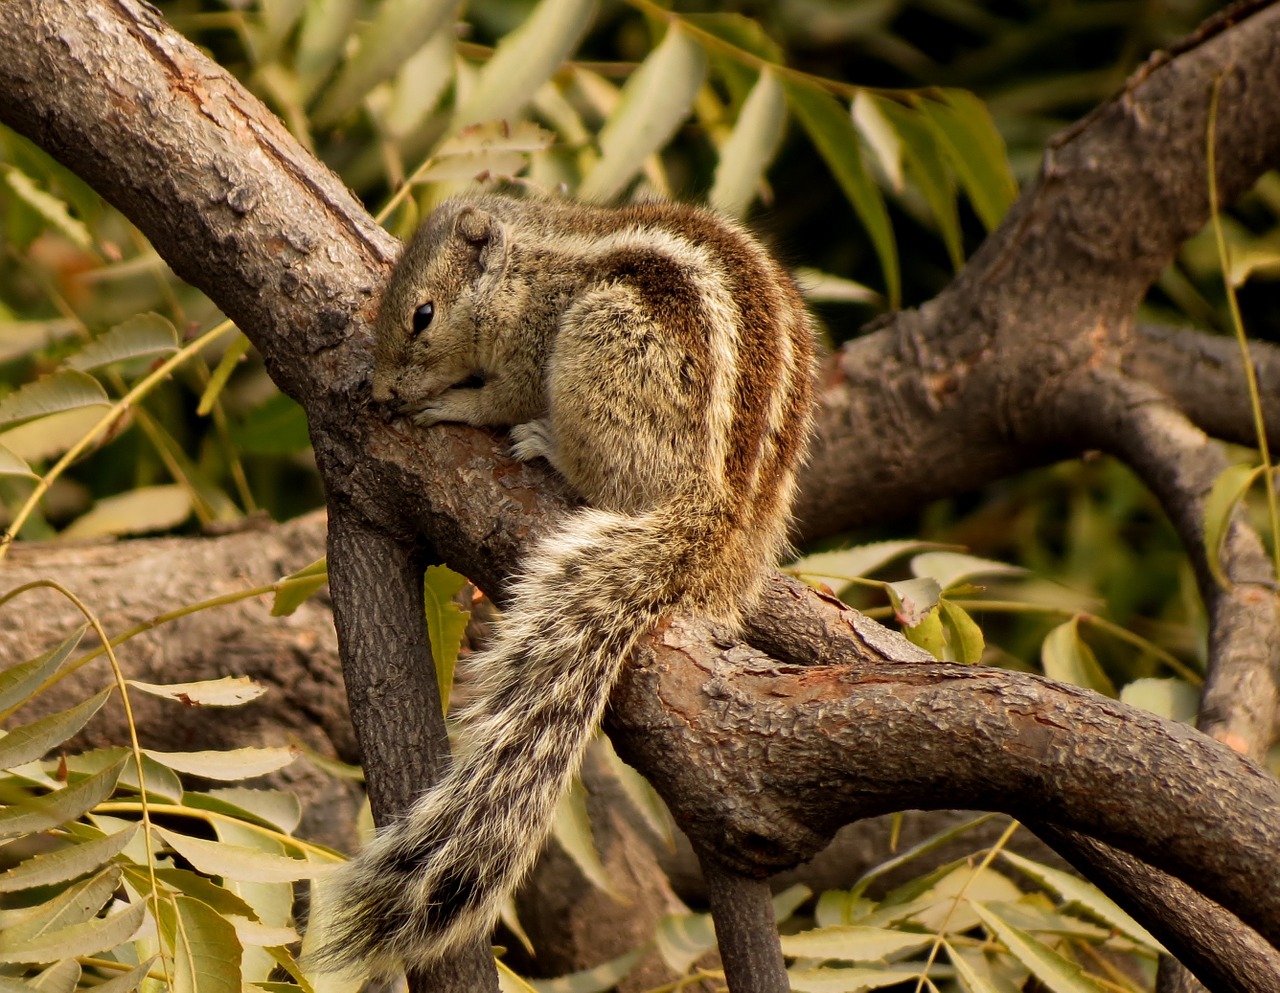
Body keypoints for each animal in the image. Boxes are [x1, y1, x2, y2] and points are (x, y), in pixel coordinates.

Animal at [307, 194, 819, 977]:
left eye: (422, 315)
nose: (382, 393)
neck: (529, 261)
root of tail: (714, 515)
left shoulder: (528, 345)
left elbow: (501, 394)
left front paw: (452, 406)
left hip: (599, 351)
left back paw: (546, 444)